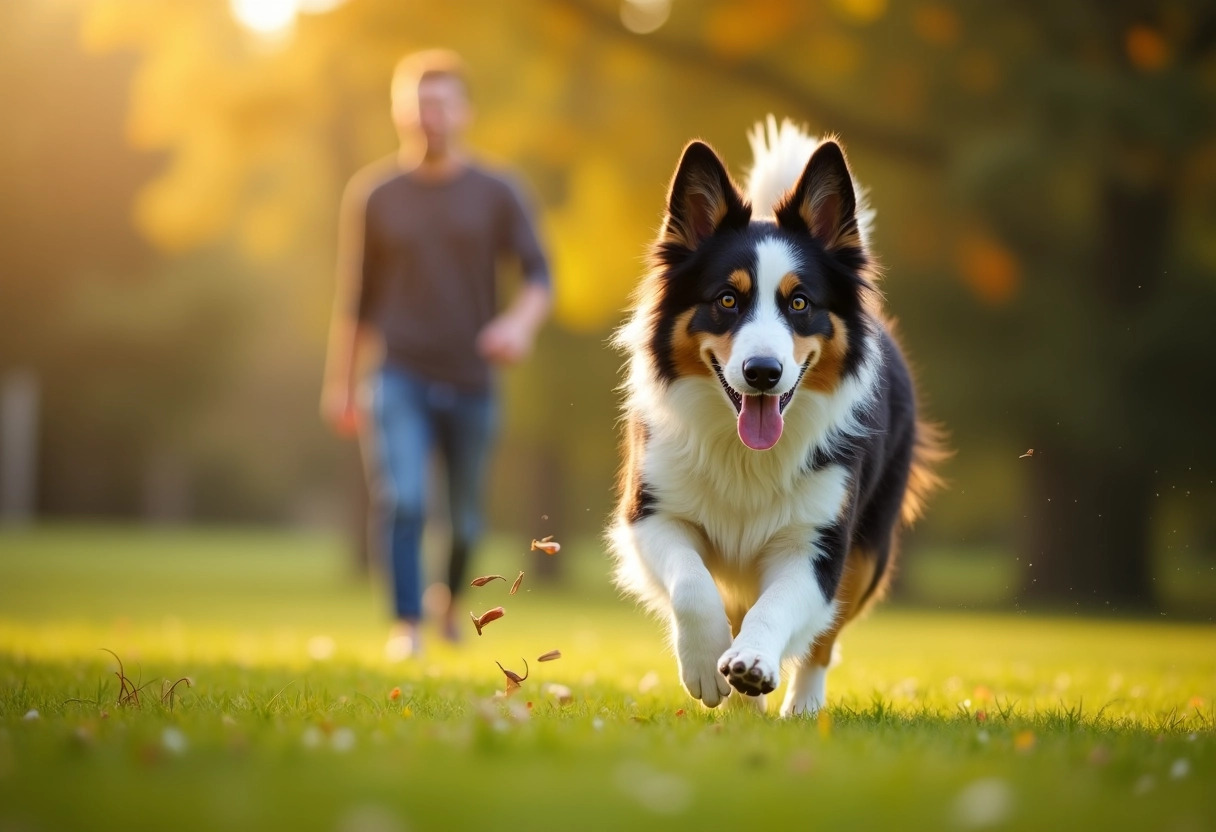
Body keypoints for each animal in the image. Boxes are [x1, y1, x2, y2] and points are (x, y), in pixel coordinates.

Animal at [605, 116, 938, 715]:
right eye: (727, 300)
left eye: (800, 302)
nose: (763, 372)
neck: (745, 454)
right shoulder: (651, 513)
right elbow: (692, 584)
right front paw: (707, 666)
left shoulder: (819, 543)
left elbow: (779, 607)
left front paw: (752, 662)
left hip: (869, 551)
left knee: (823, 639)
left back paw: (801, 708)